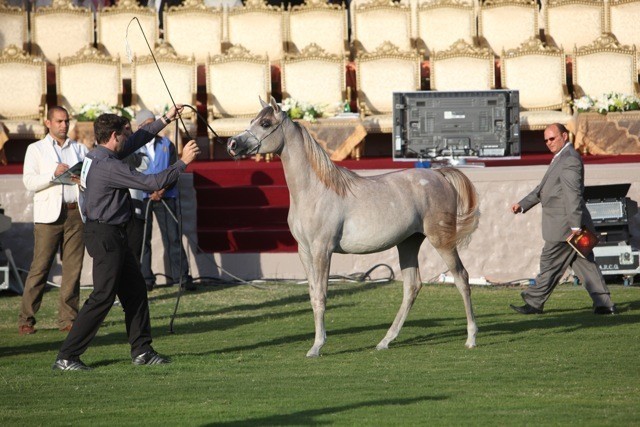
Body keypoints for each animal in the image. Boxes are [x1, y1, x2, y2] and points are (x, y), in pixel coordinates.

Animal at [227, 97, 480, 357]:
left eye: (265, 123)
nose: (232, 144)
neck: (315, 190)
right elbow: (312, 295)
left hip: (442, 241)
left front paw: (317, 346)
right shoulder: (304, 251)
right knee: (412, 287)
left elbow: (321, 295)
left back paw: (471, 338)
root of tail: (439, 175)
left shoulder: (322, 250)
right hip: (408, 243)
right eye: (252, 120)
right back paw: (385, 341)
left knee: (461, 278)